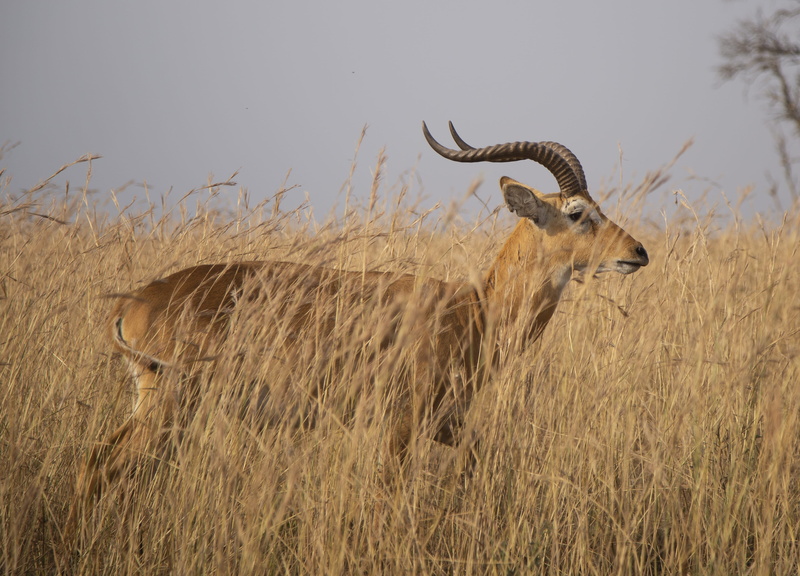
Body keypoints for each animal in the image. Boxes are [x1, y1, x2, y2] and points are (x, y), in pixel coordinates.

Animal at [69, 122, 648, 534]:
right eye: (577, 212)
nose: (638, 252)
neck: (473, 308)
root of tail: (136, 304)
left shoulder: (446, 421)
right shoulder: (401, 422)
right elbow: (388, 495)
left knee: (95, 460)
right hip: (170, 405)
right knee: (102, 464)